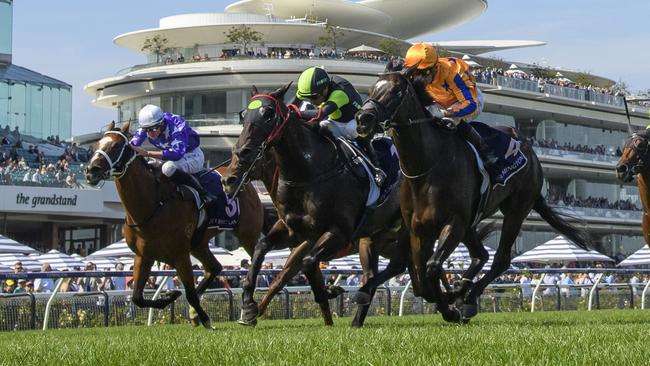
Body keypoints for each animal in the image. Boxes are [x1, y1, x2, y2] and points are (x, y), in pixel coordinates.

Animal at [85, 121, 264, 328]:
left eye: (115, 146)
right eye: (96, 145)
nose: (91, 171)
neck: (152, 205)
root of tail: (246, 181)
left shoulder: (180, 255)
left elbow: (190, 294)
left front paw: (205, 318)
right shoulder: (143, 256)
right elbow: (137, 298)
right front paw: (171, 296)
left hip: (247, 235)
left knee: (255, 262)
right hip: (199, 243)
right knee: (215, 267)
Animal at [219, 85, 410, 326]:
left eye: (268, 113)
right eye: (244, 115)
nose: (228, 180)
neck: (309, 173)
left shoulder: (336, 233)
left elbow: (306, 265)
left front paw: (328, 293)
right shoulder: (294, 232)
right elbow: (263, 251)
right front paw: (248, 306)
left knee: (399, 265)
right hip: (377, 239)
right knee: (384, 270)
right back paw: (358, 316)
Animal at [352, 63, 588, 324]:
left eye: (395, 92)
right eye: (372, 88)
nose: (363, 119)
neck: (426, 167)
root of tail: (529, 150)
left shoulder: (453, 222)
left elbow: (432, 267)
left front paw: (451, 305)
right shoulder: (418, 229)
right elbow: (422, 278)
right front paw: (448, 299)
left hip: (515, 210)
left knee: (500, 259)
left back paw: (468, 298)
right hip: (471, 223)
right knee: (481, 255)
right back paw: (462, 293)